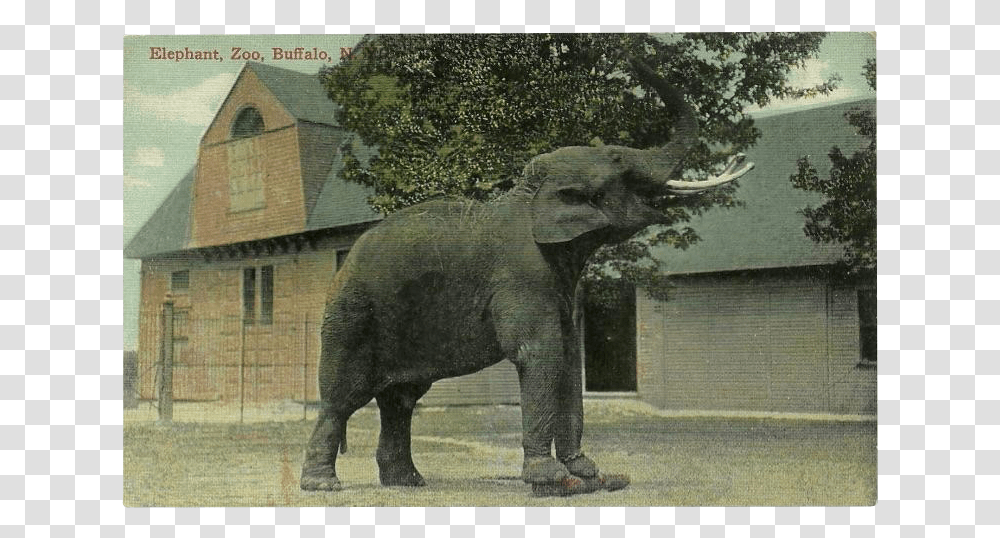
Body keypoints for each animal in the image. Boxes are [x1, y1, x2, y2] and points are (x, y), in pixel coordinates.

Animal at [300, 56, 752, 492]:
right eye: (620, 162)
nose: (740, 157)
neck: (530, 195)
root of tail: (345, 261)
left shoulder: (561, 282)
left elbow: (568, 355)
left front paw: (589, 477)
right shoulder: (521, 275)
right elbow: (540, 352)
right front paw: (551, 479)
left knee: (401, 400)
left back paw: (407, 483)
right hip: (353, 314)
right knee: (343, 397)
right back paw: (325, 485)